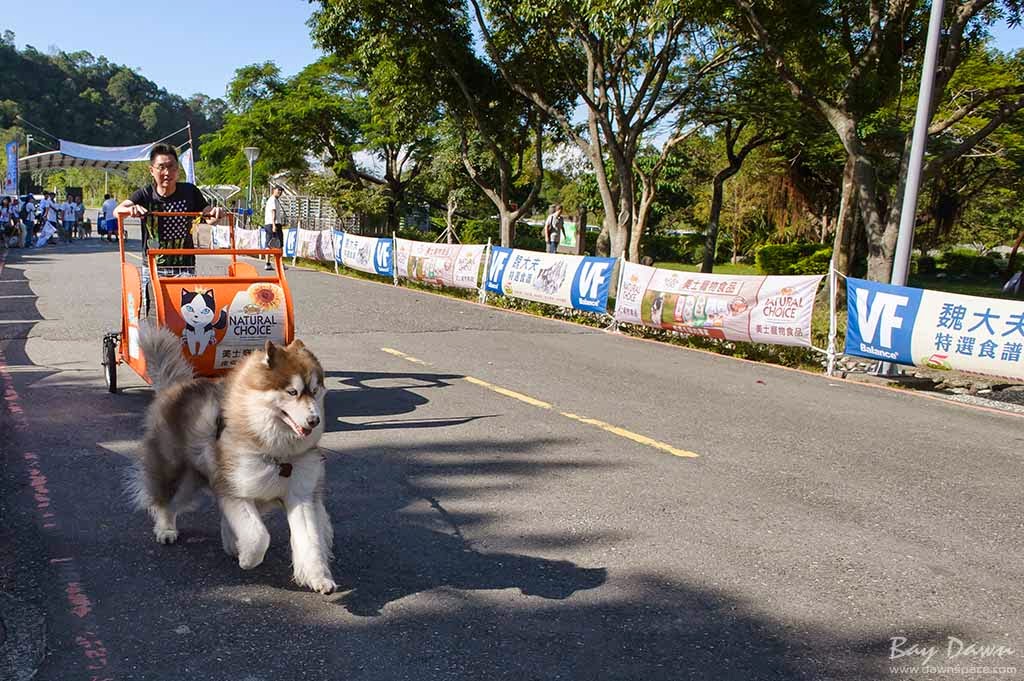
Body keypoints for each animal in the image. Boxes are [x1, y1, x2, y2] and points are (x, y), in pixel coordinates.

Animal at [128, 321, 335, 593]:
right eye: (292, 392)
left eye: (315, 390)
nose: (314, 420)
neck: (276, 451)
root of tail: (176, 386)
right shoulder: (234, 488)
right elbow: (259, 535)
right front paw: (248, 559)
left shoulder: (301, 494)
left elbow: (310, 541)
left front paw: (318, 578)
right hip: (179, 475)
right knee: (164, 502)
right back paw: (166, 529)